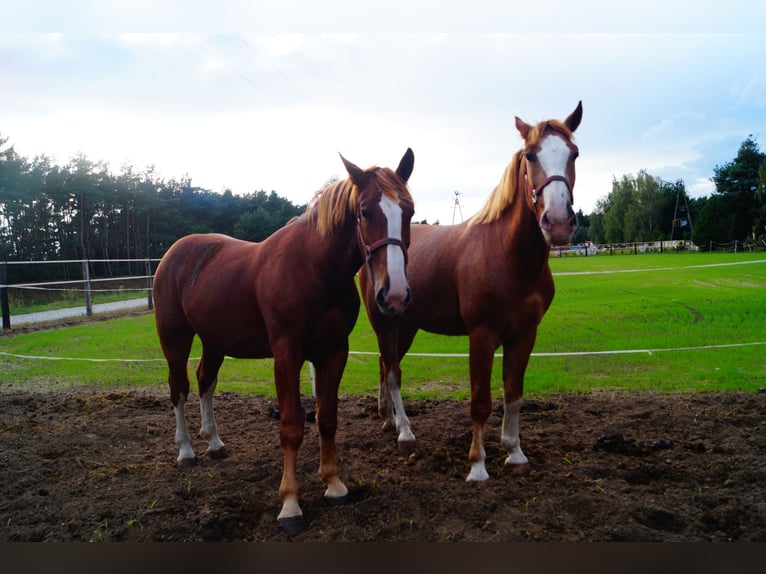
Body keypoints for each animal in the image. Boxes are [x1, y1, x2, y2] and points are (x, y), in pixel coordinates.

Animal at [154, 150, 414, 536]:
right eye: (365, 212)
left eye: (408, 211)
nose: (394, 295)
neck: (313, 270)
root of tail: (174, 252)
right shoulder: (286, 355)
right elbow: (291, 426)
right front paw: (290, 504)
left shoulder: (333, 352)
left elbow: (326, 417)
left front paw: (334, 485)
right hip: (175, 338)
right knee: (179, 388)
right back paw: (186, 450)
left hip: (214, 340)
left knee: (205, 382)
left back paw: (214, 443)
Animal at [360, 102, 584, 482]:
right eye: (530, 155)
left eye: (574, 153)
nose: (557, 222)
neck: (509, 256)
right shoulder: (481, 335)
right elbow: (480, 401)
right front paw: (478, 465)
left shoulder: (524, 336)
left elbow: (513, 394)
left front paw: (514, 453)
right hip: (385, 322)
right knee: (392, 372)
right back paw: (404, 431)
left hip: (406, 325)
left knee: (384, 364)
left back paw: (388, 419)